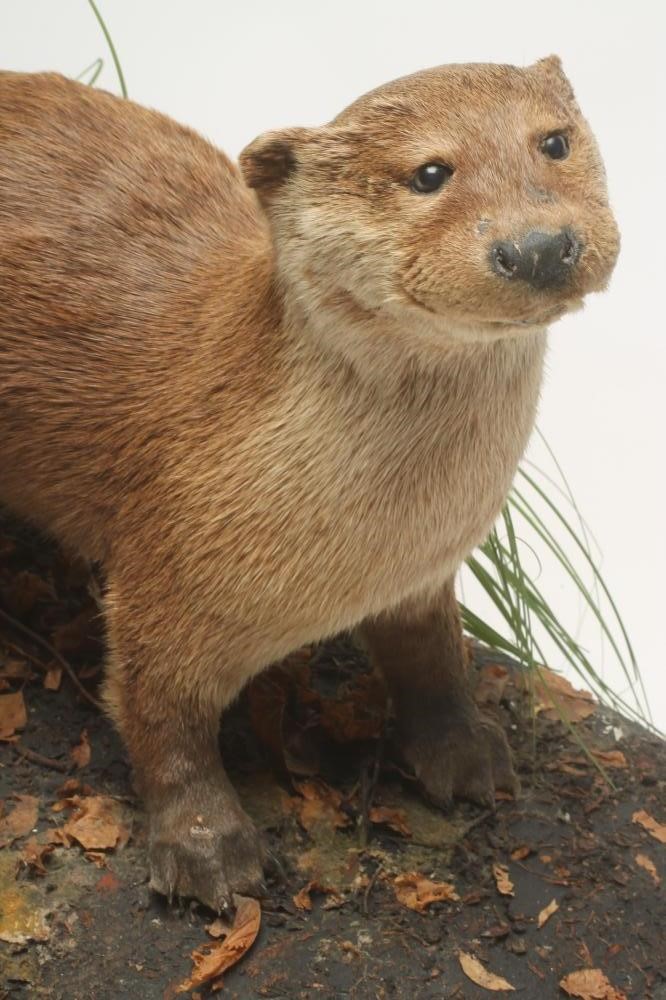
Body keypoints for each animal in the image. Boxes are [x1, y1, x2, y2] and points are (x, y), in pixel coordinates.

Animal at [0, 57, 619, 910]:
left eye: (554, 141)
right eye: (429, 172)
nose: (538, 246)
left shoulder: (423, 576)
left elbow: (433, 656)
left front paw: (465, 752)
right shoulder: (164, 575)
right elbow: (160, 713)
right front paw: (206, 849)